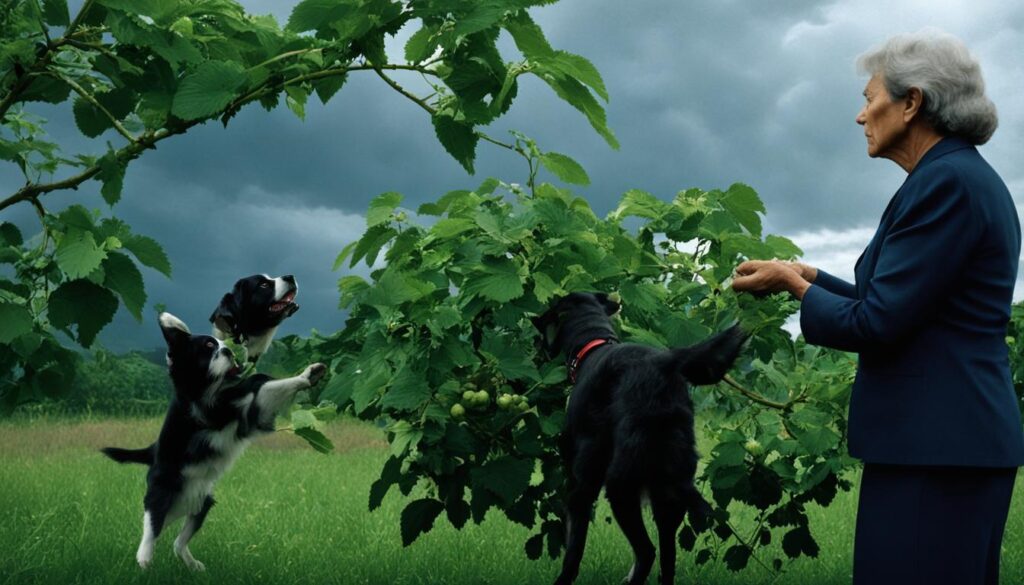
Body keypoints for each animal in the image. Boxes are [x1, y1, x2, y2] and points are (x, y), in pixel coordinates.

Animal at [101, 313, 325, 569]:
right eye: (209, 346)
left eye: (222, 344)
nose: (229, 350)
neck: (215, 394)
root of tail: (152, 451)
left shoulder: (251, 409)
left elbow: (270, 388)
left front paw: (309, 375)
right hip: (164, 491)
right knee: (152, 523)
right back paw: (144, 557)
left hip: (200, 502)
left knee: (176, 541)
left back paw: (191, 564)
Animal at [532, 293, 749, 585]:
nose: (536, 345)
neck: (594, 344)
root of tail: (665, 363)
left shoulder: (580, 485)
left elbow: (573, 551)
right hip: (670, 490)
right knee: (667, 560)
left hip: (621, 485)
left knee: (647, 551)